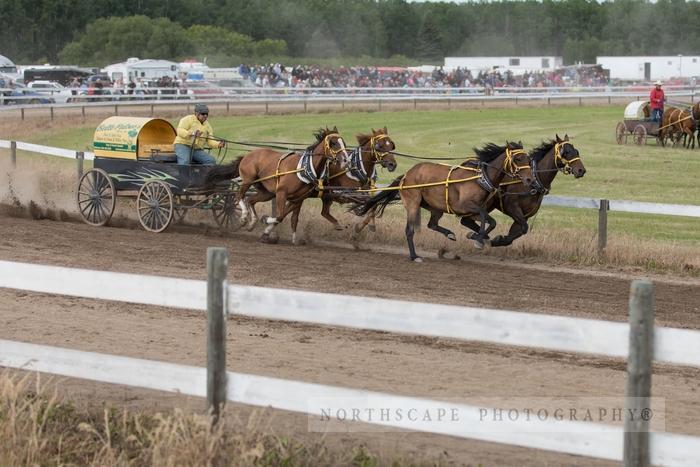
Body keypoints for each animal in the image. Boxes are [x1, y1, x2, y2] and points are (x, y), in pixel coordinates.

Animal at [204, 128, 348, 245]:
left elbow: (289, 218)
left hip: (267, 193)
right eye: (333, 143)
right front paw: (266, 220)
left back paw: (252, 223)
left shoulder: (298, 199)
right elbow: (279, 216)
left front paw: (271, 233)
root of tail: (248, 154)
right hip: (248, 180)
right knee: (239, 195)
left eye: (344, 143)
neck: (304, 169)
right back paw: (244, 217)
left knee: (250, 200)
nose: (346, 160)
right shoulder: (281, 193)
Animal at [352, 141, 532, 262]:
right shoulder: (466, 205)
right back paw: (414, 256)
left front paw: (477, 236)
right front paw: (479, 239)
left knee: (432, 224)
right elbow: (488, 219)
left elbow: (488, 221)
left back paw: (449, 234)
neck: (480, 178)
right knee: (409, 230)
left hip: (435, 207)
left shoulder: (472, 211)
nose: (530, 179)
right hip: (413, 203)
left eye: (528, 159)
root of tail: (407, 175)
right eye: (518, 158)